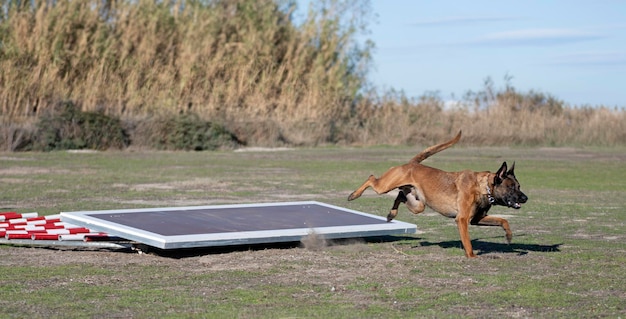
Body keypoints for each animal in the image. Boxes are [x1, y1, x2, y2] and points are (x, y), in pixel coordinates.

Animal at [346, 131, 528, 258]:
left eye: (519, 186)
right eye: (511, 187)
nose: (525, 198)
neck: (483, 187)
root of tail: (411, 164)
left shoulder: (476, 219)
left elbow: (503, 220)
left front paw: (509, 236)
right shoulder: (462, 220)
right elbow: (468, 242)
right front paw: (472, 256)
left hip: (418, 205)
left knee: (400, 196)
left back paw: (392, 214)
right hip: (384, 186)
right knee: (371, 178)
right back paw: (353, 195)